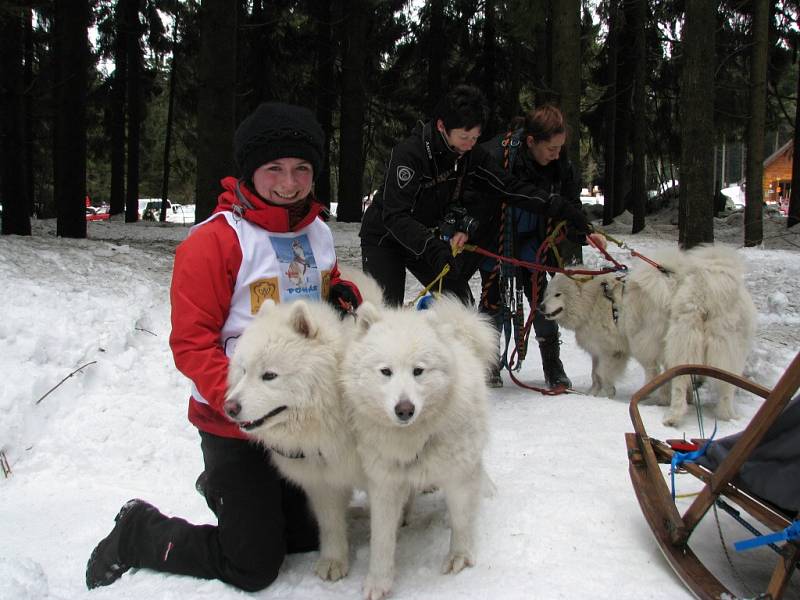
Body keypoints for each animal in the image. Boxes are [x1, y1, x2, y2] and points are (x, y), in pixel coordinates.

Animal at [340, 296, 496, 600]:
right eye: (386, 372)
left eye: (418, 371)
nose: (405, 409)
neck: (414, 437)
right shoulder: (385, 483)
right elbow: (382, 539)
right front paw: (378, 581)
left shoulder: (459, 474)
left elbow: (462, 519)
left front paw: (459, 557)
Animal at [536, 246, 756, 428]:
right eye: (546, 294)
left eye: (558, 295)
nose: (540, 307)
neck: (592, 301)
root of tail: (708, 289)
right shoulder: (597, 350)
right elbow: (595, 375)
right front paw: (592, 394)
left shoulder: (612, 350)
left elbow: (603, 373)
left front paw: (608, 393)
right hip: (724, 348)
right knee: (725, 385)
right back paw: (725, 414)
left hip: (657, 341)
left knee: (660, 374)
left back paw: (664, 409)